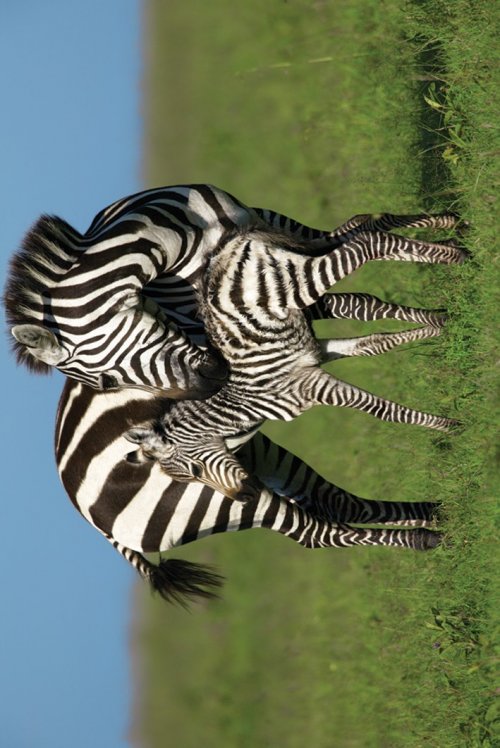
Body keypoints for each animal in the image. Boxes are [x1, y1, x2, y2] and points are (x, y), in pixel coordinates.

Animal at [5, 183, 457, 397]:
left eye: (106, 384)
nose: (215, 382)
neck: (174, 236)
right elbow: (353, 298)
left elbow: (361, 241)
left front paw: (449, 247)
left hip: (271, 221)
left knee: (354, 227)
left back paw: (444, 228)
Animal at [125, 222, 466, 502]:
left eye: (195, 473)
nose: (246, 498)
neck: (244, 405)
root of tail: (222, 253)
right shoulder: (316, 356)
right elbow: (374, 344)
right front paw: (439, 325)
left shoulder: (310, 386)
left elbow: (382, 411)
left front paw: (451, 427)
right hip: (293, 262)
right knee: (368, 235)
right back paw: (454, 246)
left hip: (298, 283)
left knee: (367, 242)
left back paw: (456, 256)